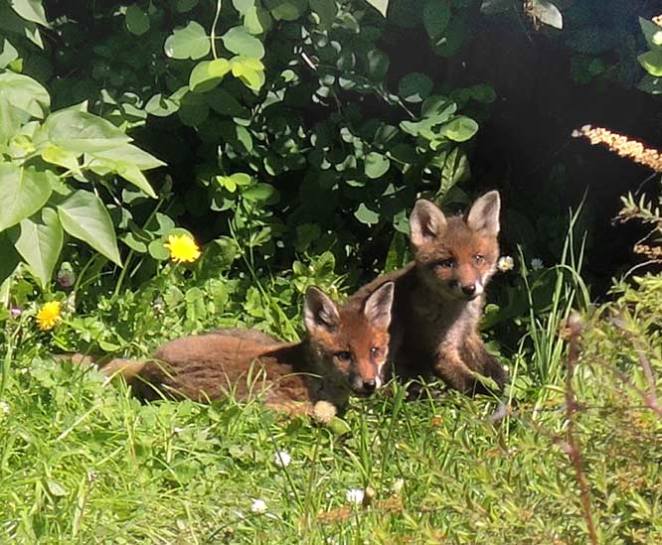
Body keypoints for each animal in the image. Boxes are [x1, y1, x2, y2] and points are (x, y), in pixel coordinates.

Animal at [96, 282, 395, 416]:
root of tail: (151, 362)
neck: (309, 375)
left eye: (375, 351)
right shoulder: (270, 404)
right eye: (344, 355)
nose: (370, 384)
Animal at [349, 191, 507, 394]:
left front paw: (506, 385)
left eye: (478, 258)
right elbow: (473, 384)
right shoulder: (439, 352)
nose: (469, 288)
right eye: (448, 263)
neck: (457, 315)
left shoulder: (468, 335)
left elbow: (492, 368)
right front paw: (500, 396)